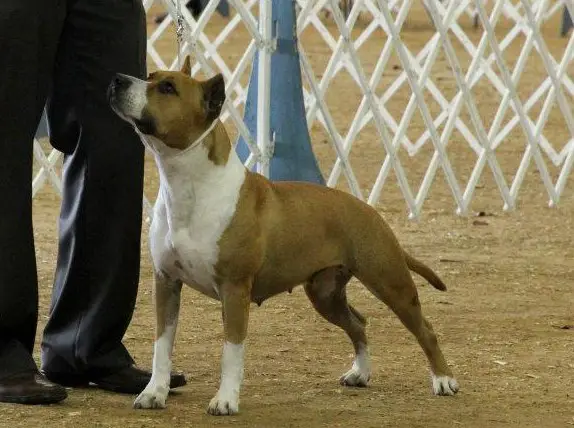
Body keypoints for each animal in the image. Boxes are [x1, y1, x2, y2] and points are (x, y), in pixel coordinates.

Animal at [107, 56, 460, 414]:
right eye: (150, 75)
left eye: (168, 88)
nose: (118, 79)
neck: (190, 187)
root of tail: (371, 212)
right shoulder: (166, 282)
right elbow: (162, 345)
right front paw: (154, 392)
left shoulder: (234, 289)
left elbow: (231, 350)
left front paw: (225, 400)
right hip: (325, 294)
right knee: (358, 323)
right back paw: (360, 373)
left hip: (390, 282)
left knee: (425, 329)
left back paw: (444, 380)